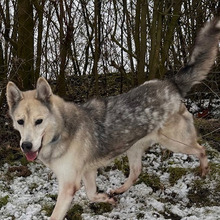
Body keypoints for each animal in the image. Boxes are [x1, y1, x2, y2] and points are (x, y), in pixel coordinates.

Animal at [6, 18, 220, 220]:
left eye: (39, 121)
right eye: (20, 122)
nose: (26, 145)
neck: (61, 131)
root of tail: (172, 84)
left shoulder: (68, 184)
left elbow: (57, 214)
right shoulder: (87, 172)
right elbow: (91, 194)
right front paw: (106, 199)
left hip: (175, 142)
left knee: (201, 149)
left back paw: (204, 170)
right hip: (134, 146)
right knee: (136, 172)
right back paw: (119, 190)